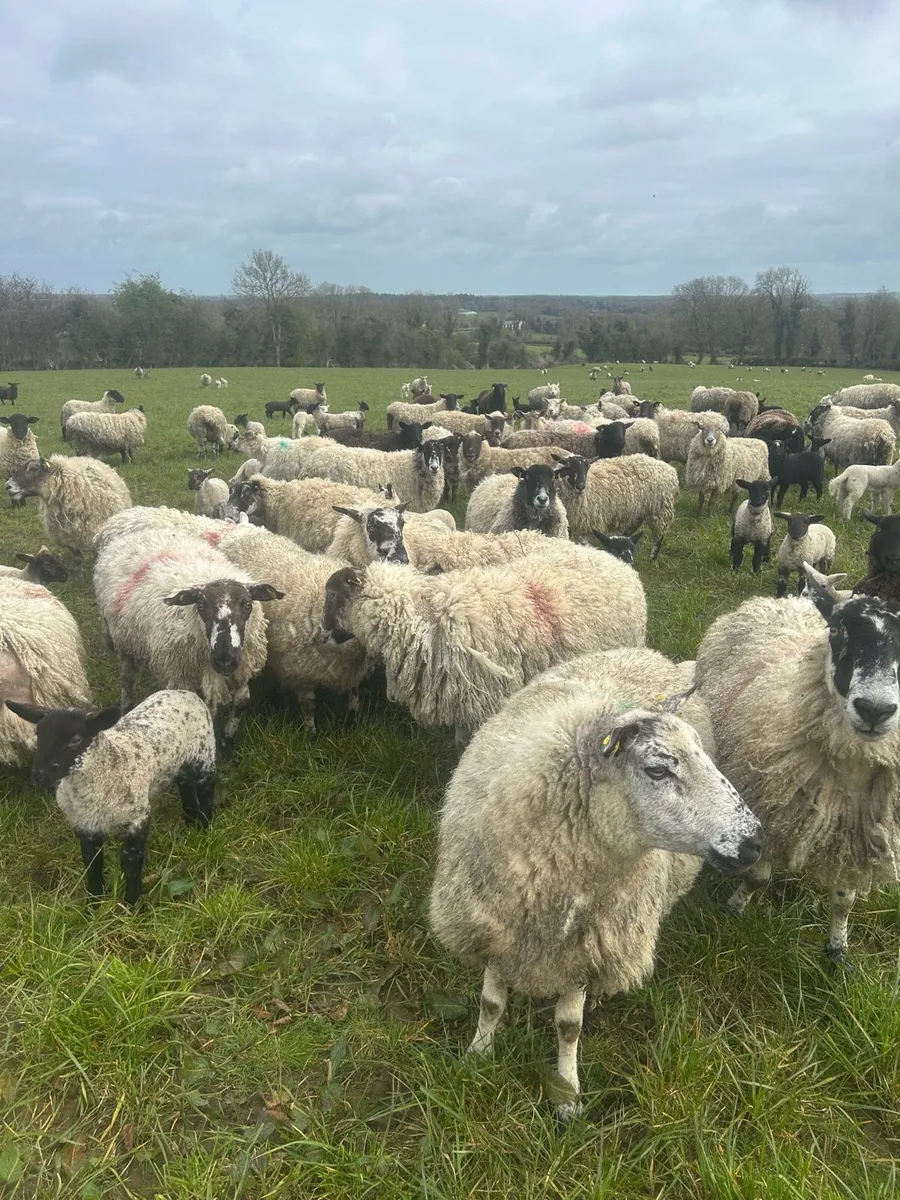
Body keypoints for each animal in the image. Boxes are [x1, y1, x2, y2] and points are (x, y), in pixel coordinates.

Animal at [9, 690, 216, 904]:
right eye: (38, 735)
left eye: (76, 740)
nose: (38, 776)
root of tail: (182, 691)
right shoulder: (84, 825)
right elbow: (92, 863)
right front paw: (94, 902)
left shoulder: (138, 819)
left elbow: (130, 861)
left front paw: (131, 904)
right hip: (179, 764)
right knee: (186, 786)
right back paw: (190, 824)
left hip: (204, 754)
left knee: (206, 789)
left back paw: (204, 828)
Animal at [93, 527, 282, 744]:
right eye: (200, 606)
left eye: (248, 605)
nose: (225, 659)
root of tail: (140, 533)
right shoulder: (183, 677)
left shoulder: (242, 667)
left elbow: (242, 701)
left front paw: (227, 739)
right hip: (125, 642)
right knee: (127, 677)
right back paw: (126, 705)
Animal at [214, 524, 370, 733]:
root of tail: (240, 530)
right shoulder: (300, 673)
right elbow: (308, 705)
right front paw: (311, 731)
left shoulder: (353, 669)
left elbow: (354, 692)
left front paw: (355, 715)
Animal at [429, 646, 760, 1115]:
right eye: (658, 770)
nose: (756, 842)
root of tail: (649, 652)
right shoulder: (493, 925)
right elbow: (490, 1002)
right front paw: (478, 1056)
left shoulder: (590, 947)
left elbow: (569, 1025)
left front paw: (567, 1095)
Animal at [695, 580, 900, 964]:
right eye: (835, 629)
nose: (875, 709)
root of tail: (785, 600)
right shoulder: (770, 810)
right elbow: (758, 878)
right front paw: (734, 908)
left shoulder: (854, 838)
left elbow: (845, 900)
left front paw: (837, 951)